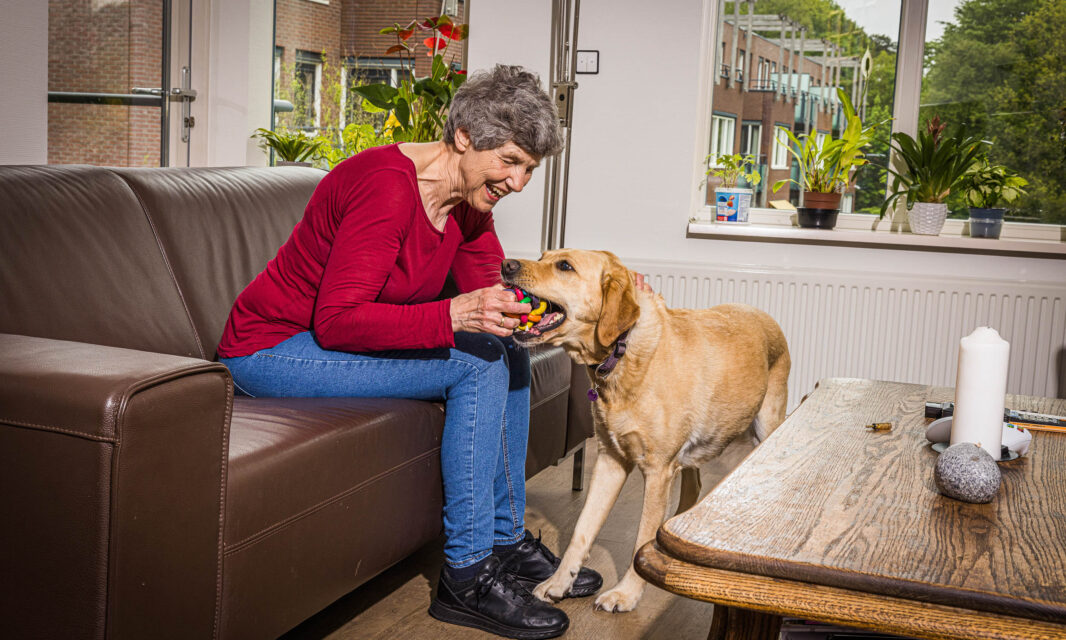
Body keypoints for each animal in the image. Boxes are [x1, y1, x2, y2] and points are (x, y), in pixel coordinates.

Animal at [501, 247, 793, 614]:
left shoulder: (657, 471)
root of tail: (764, 315)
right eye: (543, 256)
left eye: (565, 266)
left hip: (766, 428)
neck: (622, 355)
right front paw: (558, 584)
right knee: (693, 485)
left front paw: (625, 594)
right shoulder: (610, 461)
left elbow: (641, 536)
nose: (506, 264)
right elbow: (582, 529)